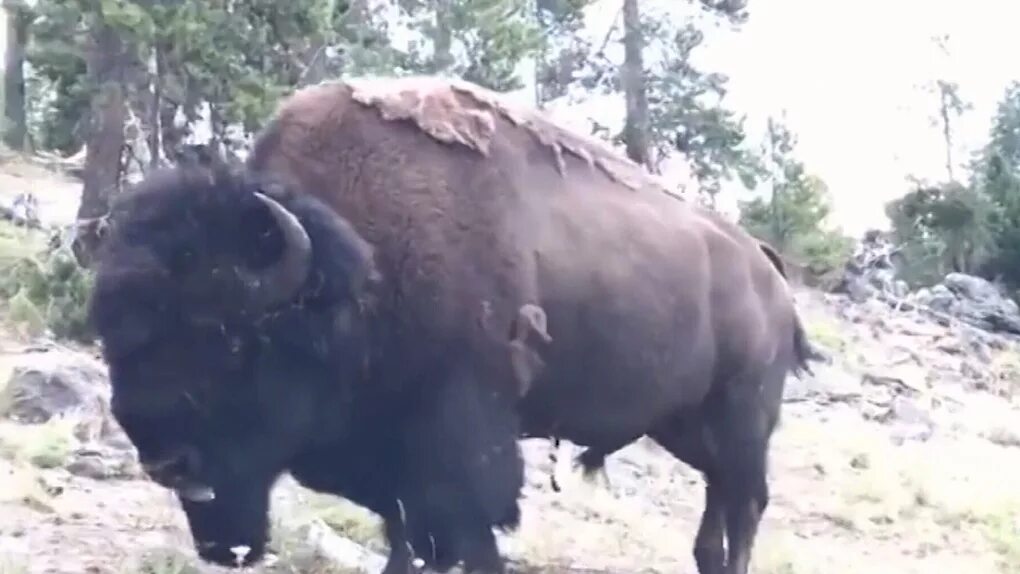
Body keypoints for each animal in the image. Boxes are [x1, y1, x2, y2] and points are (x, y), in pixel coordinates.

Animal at [87, 77, 820, 574]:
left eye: (233, 338)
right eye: (114, 336)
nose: (164, 459)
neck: (360, 265)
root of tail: (770, 274)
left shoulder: (460, 437)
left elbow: (460, 532)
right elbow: (403, 533)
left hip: (741, 421)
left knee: (745, 506)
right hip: (685, 426)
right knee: (719, 513)